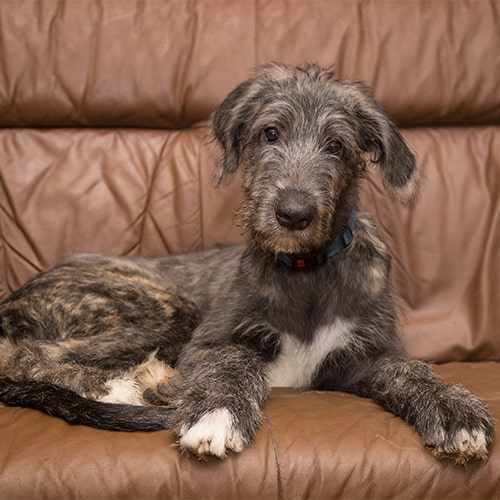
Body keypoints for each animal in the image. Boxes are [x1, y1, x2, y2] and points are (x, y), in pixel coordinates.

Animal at [0, 63, 494, 464]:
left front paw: (452, 407)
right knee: (22, 353)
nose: (293, 214)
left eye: (336, 146)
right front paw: (218, 411)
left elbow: (408, 369)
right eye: (270, 133)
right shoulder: (210, 340)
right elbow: (232, 361)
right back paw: (122, 385)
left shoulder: (361, 356)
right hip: (163, 309)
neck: (304, 270)